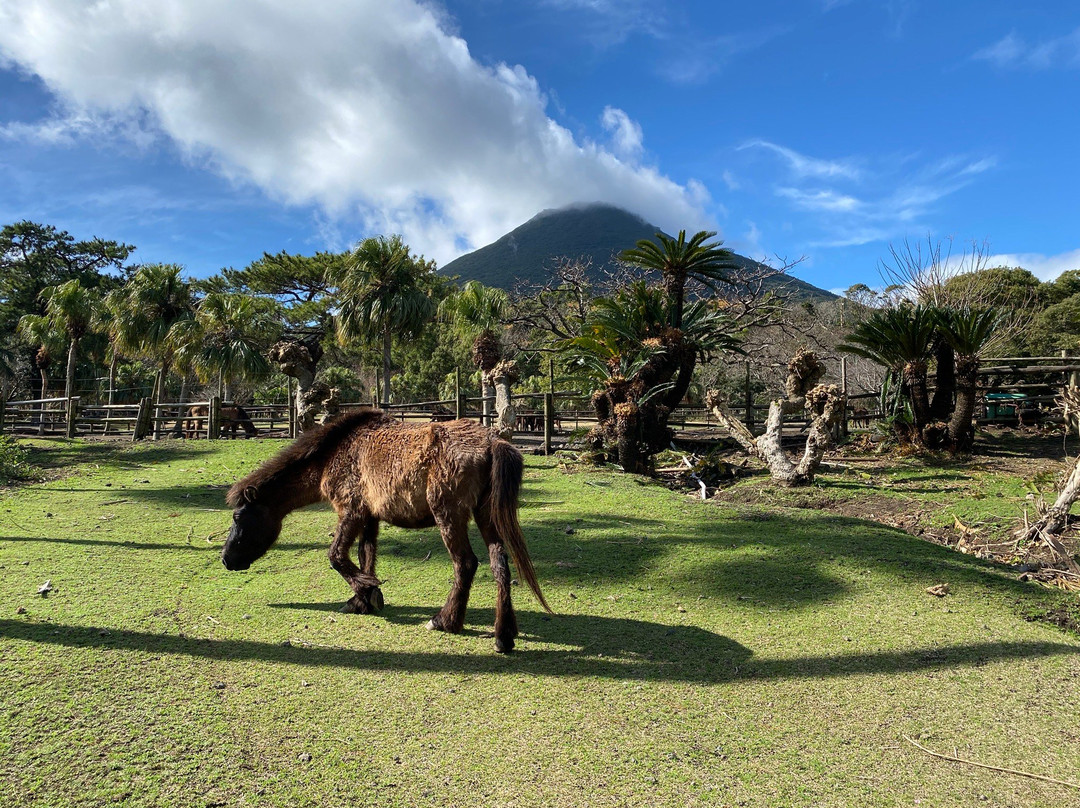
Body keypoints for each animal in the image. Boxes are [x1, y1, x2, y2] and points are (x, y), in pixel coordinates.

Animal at [222, 410, 552, 648]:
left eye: (238, 518)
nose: (226, 559)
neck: (334, 454)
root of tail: (491, 442)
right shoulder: (368, 516)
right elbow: (365, 555)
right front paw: (362, 599)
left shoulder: (351, 511)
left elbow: (336, 556)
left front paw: (368, 591)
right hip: (485, 516)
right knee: (500, 565)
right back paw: (503, 635)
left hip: (449, 515)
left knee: (466, 564)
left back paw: (445, 621)